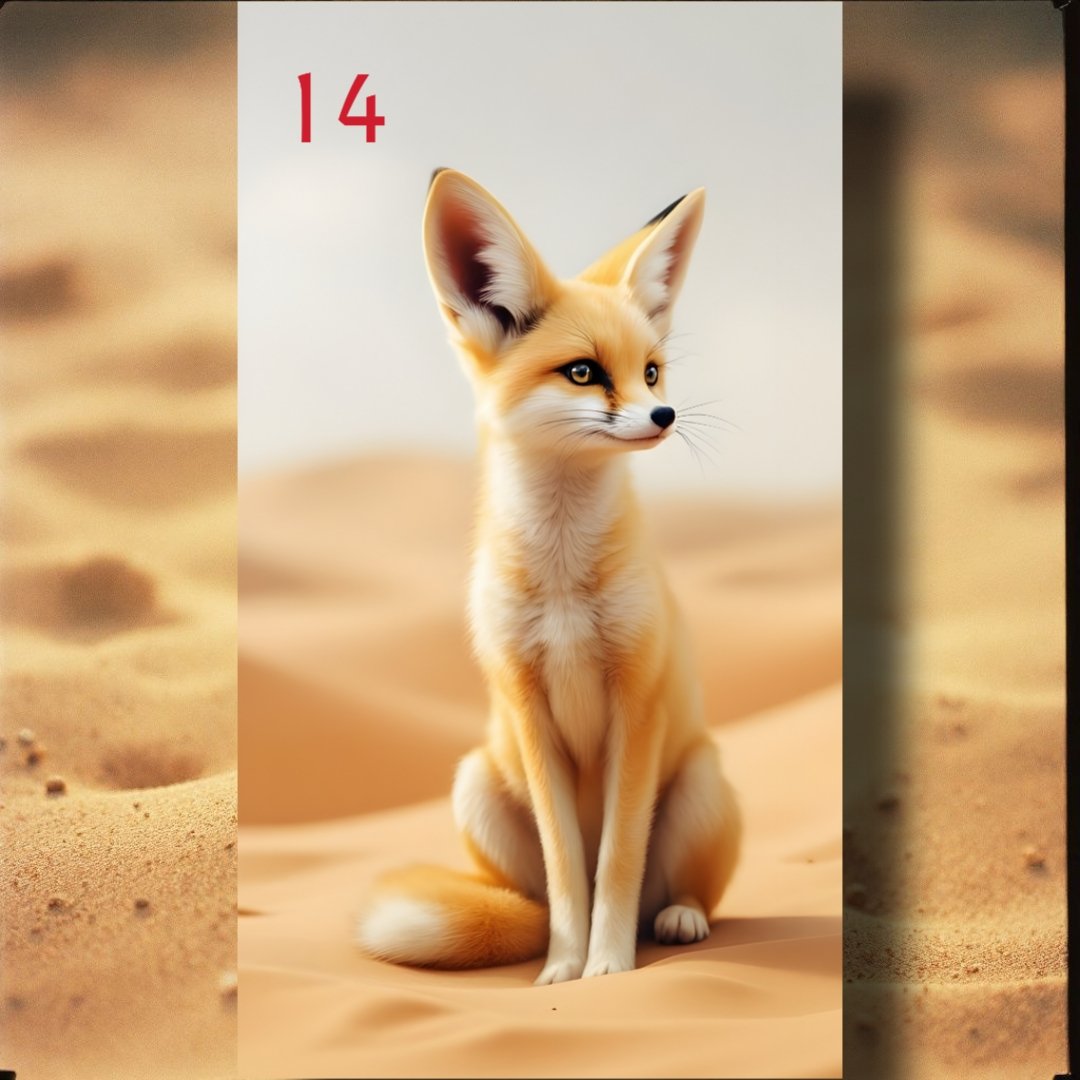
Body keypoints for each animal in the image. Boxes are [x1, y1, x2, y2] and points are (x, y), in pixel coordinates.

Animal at [356, 169, 742, 984]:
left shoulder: (638, 699)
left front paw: (609, 968)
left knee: (675, 892)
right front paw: (565, 969)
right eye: (585, 373)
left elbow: (617, 864)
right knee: (532, 902)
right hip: (476, 781)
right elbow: (571, 871)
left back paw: (679, 917)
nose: (665, 414)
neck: (564, 582)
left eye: (652, 370)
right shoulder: (527, 707)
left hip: (700, 780)